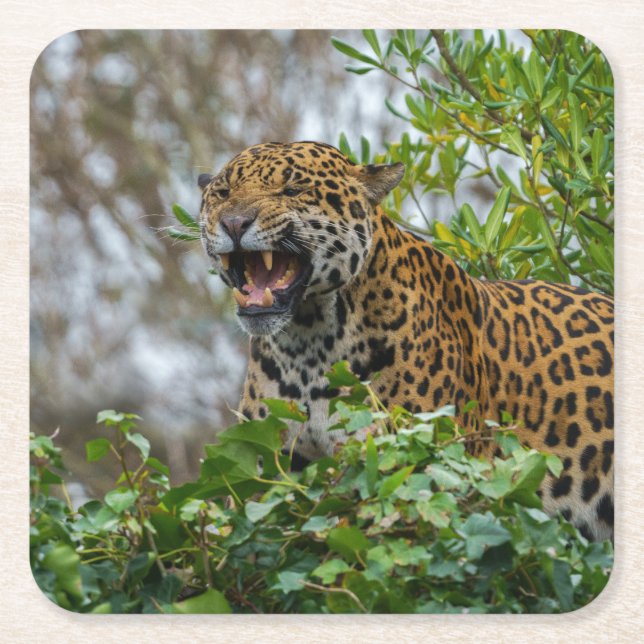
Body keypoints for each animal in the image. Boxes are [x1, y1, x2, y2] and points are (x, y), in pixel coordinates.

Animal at [197, 140, 614, 541]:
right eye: (222, 192)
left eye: (293, 189)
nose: (234, 222)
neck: (308, 345)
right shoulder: (268, 466)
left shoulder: (417, 467)